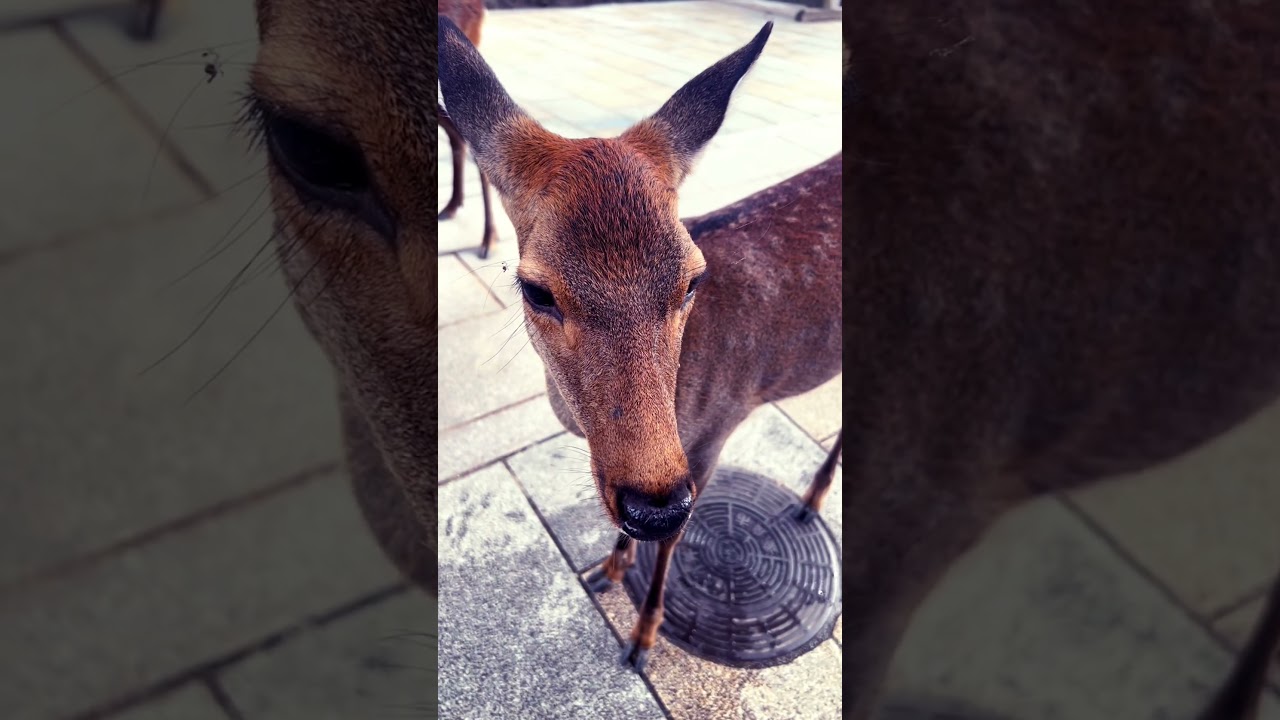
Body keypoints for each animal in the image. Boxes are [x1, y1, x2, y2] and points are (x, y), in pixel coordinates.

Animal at [438, 8, 844, 676]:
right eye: (536, 289)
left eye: (693, 278)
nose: (654, 504)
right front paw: (607, 567)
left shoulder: (715, 426)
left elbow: (677, 542)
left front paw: (642, 639)